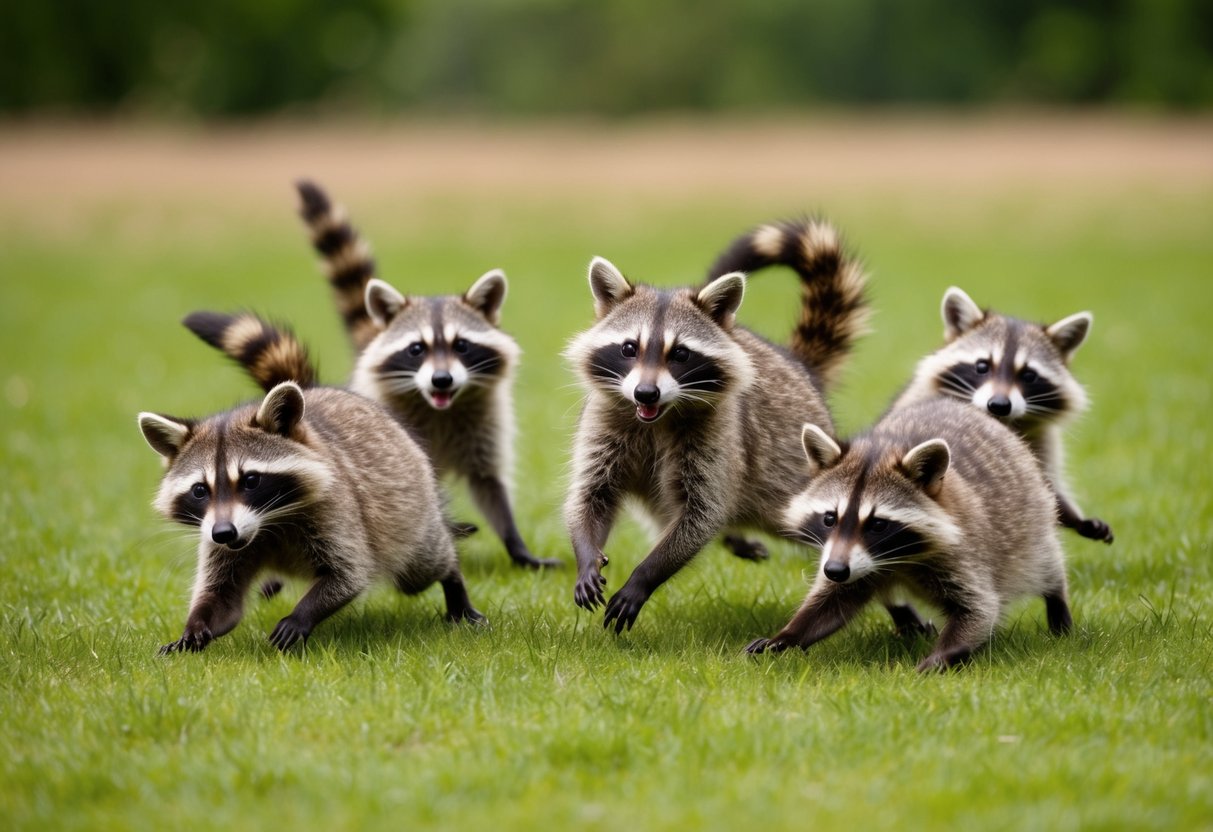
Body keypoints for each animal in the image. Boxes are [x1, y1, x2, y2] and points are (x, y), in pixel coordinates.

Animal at [140, 312, 482, 654]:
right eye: (200, 490)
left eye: (251, 480)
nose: (225, 533)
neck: (267, 522)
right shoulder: (218, 533)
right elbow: (223, 598)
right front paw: (196, 626)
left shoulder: (336, 509)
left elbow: (348, 573)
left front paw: (302, 615)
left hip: (409, 509)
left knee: (423, 566)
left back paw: (454, 582)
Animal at [294, 180, 556, 568]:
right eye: (416, 349)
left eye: (461, 345)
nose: (442, 380)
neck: (439, 407)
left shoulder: (485, 424)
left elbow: (489, 483)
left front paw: (516, 545)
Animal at [565, 218, 889, 633]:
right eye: (628, 348)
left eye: (681, 354)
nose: (645, 393)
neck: (658, 417)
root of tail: (796, 365)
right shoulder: (604, 423)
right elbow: (591, 495)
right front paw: (586, 554)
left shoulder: (718, 435)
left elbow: (700, 516)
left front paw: (645, 575)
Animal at [747, 397, 1072, 672]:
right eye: (829, 518)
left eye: (878, 524)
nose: (835, 570)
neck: (897, 559)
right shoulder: (847, 557)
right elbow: (832, 602)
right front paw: (789, 634)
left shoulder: (963, 552)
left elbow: (979, 608)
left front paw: (943, 656)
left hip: (1031, 519)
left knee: (1045, 564)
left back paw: (1058, 603)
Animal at [892, 286, 1112, 544]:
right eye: (982, 366)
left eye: (1028, 375)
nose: (998, 405)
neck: (1003, 423)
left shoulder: (1041, 440)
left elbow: (1045, 484)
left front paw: (1074, 516)